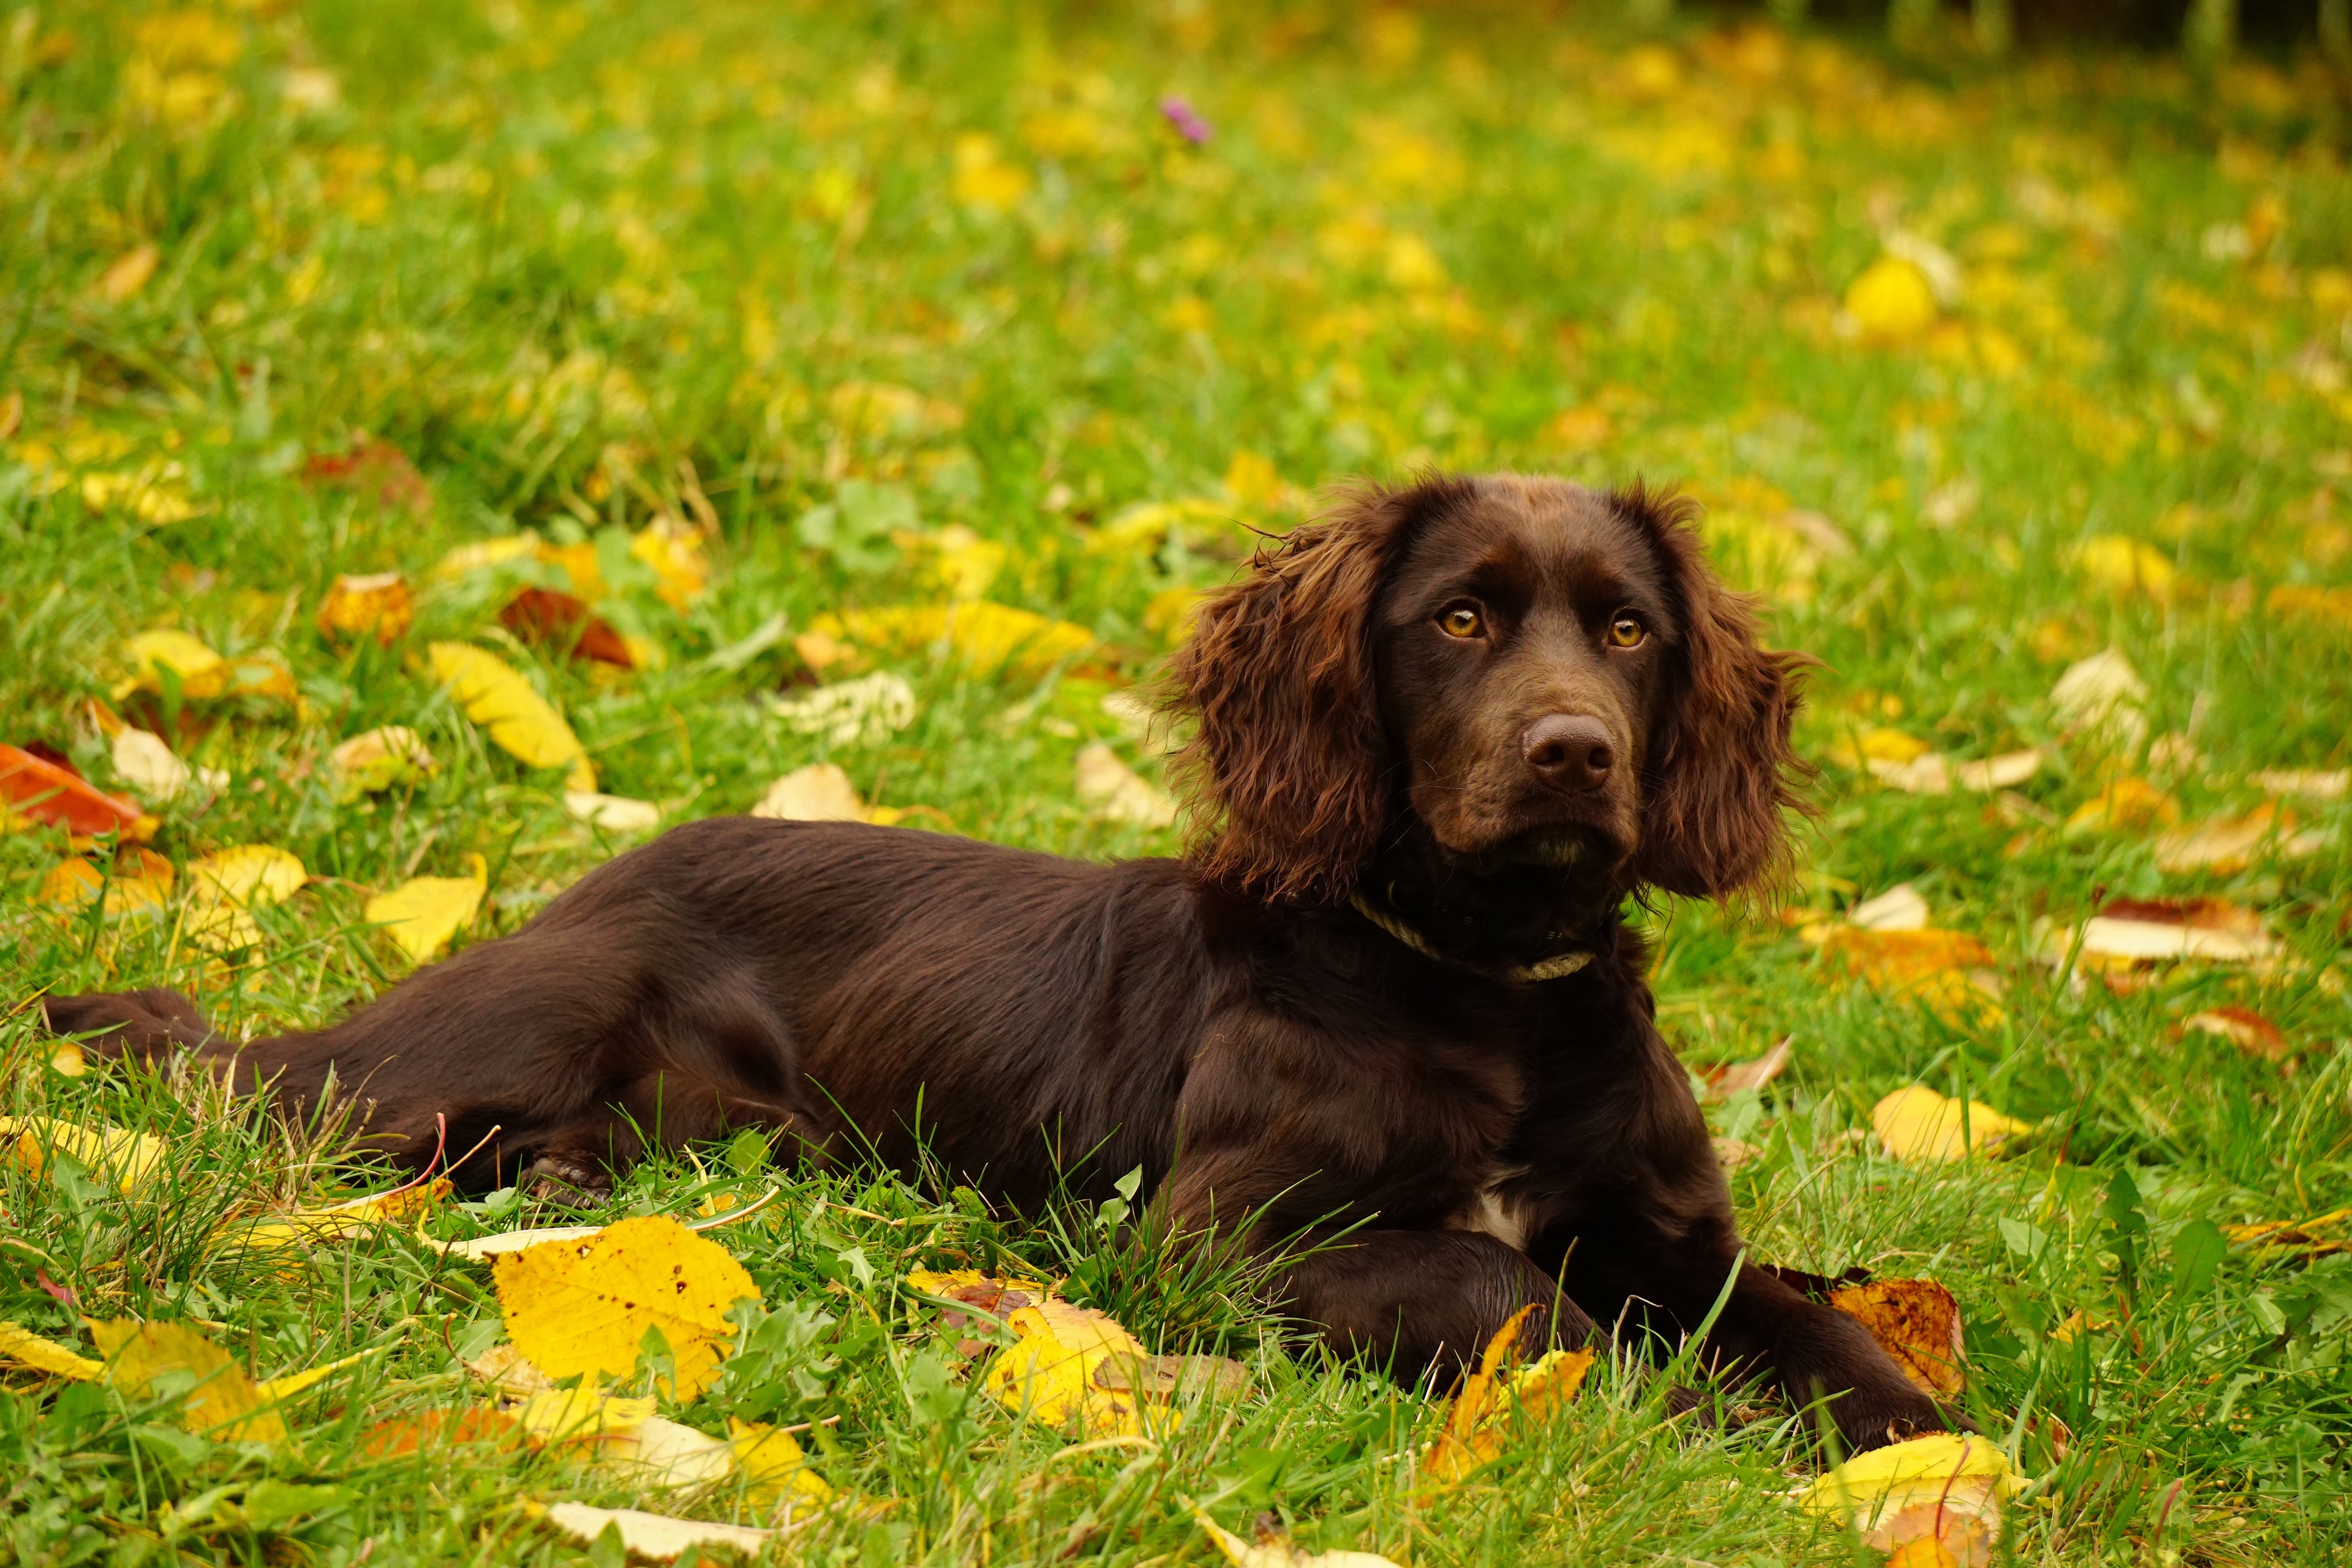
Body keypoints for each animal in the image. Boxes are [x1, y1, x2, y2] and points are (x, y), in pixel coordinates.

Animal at [50, 481, 1947, 1457]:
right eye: (1459, 620)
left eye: (1628, 631)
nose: (1572, 754)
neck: (1482, 984)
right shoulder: (1230, 1240)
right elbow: (1516, 1298)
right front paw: (1673, 1414)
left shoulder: (1667, 1231)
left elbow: (1809, 1326)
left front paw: (1907, 1450)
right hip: (494, 1036)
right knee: (264, 1102)